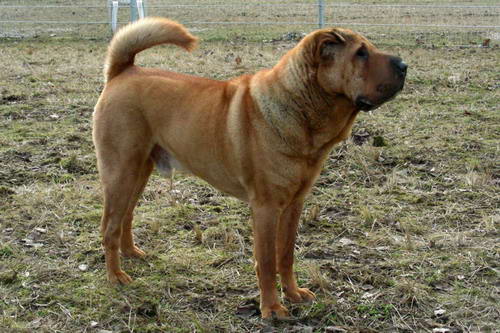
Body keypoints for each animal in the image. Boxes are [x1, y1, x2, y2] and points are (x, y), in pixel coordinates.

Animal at [94, 18, 406, 320]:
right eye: (360, 53)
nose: (404, 66)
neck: (300, 108)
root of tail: (123, 71)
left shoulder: (294, 204)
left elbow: (286, 255)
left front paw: (293, 294)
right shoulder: (265, 208)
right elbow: (267, 261)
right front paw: (272, 309)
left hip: (139, 171)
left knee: (126, 216)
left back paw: (131, 253)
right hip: (120, 171)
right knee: (109, 226)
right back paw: (116, 276)